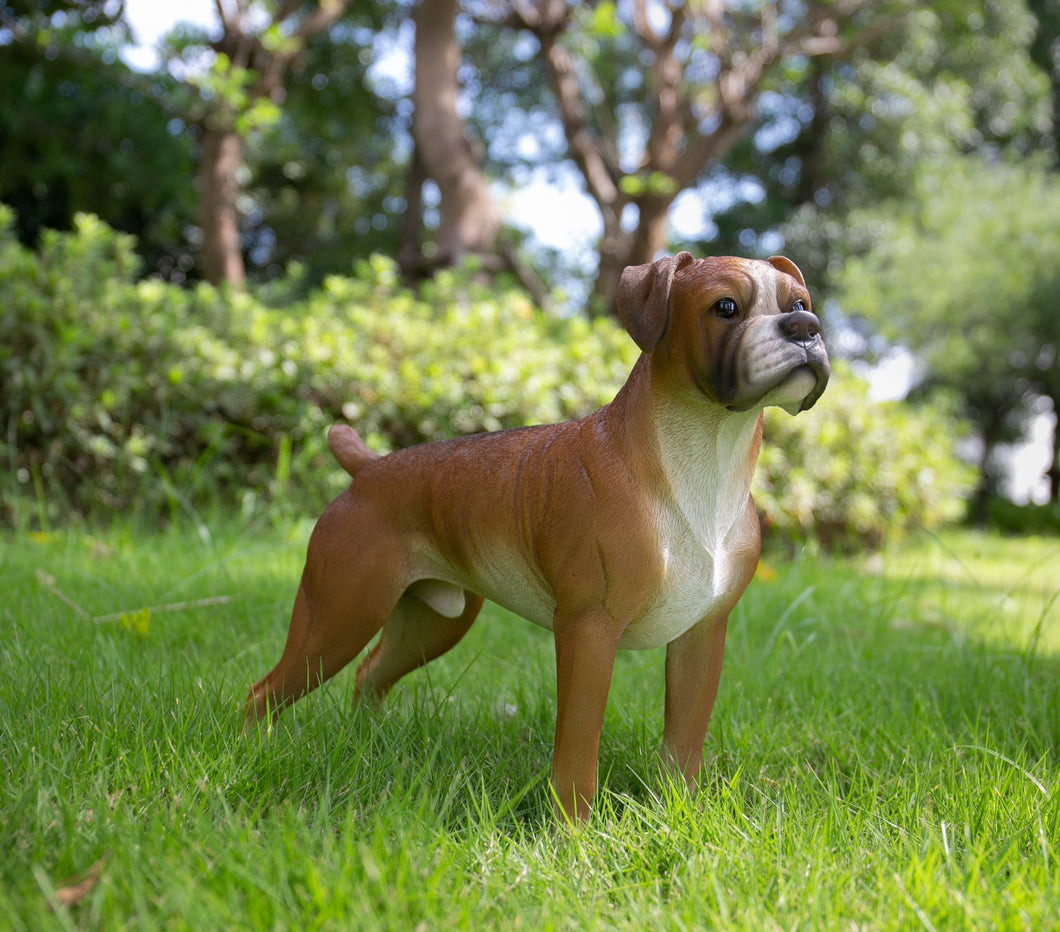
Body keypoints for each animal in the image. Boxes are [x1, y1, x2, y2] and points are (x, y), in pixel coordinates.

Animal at [248, 251, 826, 818]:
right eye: (725, 307)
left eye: (799, 303)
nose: (805, 327)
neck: (707, 450)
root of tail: (367, 469)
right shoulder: (589, 632)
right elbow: (576, 746)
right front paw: (573, 829)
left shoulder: (701, 637)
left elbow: (682, 742)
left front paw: (677, 814)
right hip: (340, 615)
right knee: (266, 691)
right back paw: (255, 749)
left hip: (428, 624)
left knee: (369, 675)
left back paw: (366, 742)